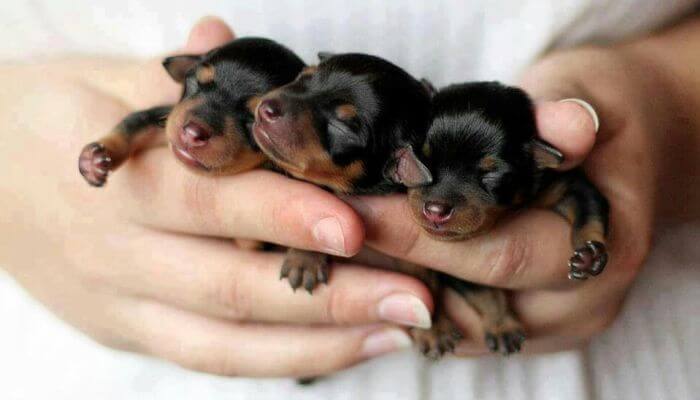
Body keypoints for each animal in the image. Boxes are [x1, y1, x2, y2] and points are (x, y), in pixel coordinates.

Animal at [78, 36, 304, 185]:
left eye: (253, 117)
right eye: (196, 82)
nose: (193, 132)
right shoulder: (161, 118)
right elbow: (133, 124)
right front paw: (94, 160)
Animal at [408, 81, 608, 282]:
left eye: (492, 174)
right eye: (422, 161)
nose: (435, 211)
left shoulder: (563, 186)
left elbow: (589, 210)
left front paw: (590, 256)